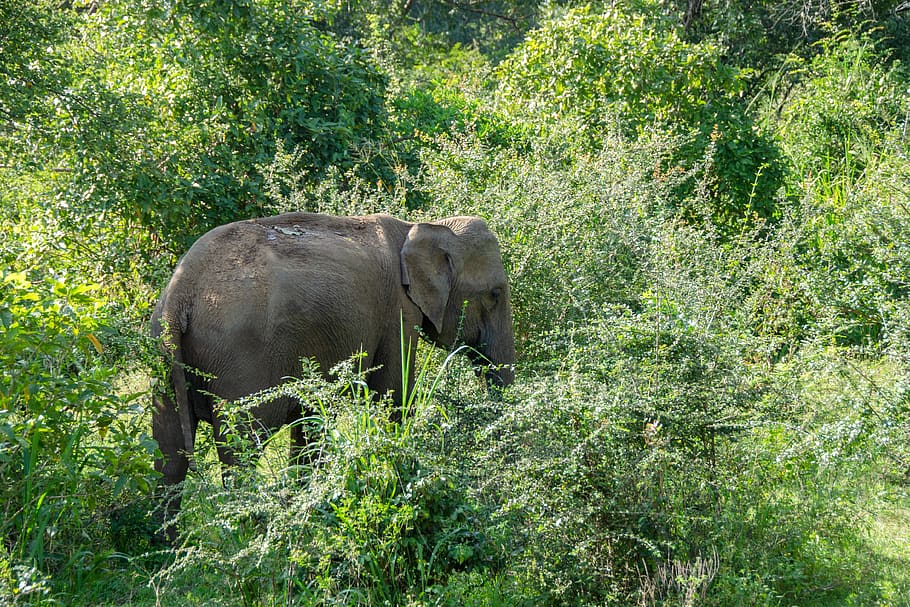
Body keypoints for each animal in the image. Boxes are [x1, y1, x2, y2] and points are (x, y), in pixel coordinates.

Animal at [153, 211, 516, 540]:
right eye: (495, 294)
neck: (422, 226)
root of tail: (180, 293)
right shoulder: (397, 312)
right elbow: (393, 397)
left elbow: (309, 424)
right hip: (240, 359)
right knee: (239, 449)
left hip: (165, 356)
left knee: (168, 452)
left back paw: (168, 549)